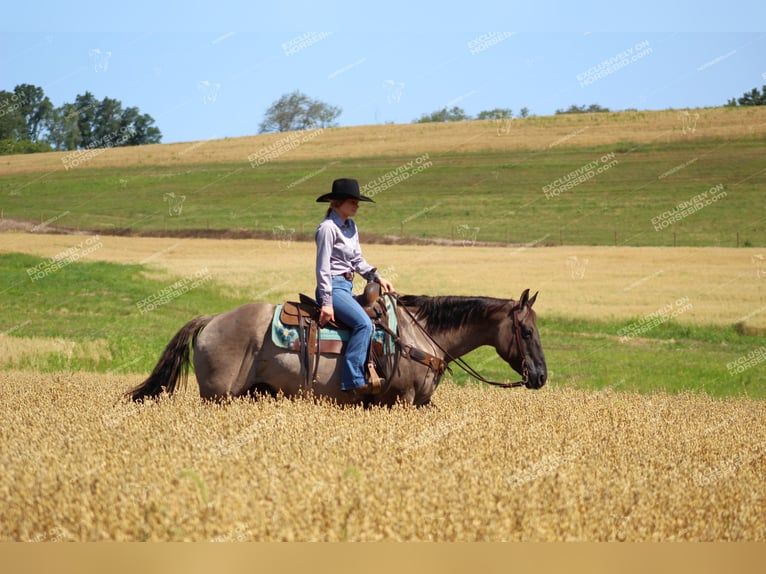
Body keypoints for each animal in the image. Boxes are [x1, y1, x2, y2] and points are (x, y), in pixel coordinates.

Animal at [127, 290, 544, 408]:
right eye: (526, 330)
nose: (540, 375)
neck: (419, 334)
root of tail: (213, 319)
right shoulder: (405, 400)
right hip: (217, 397)